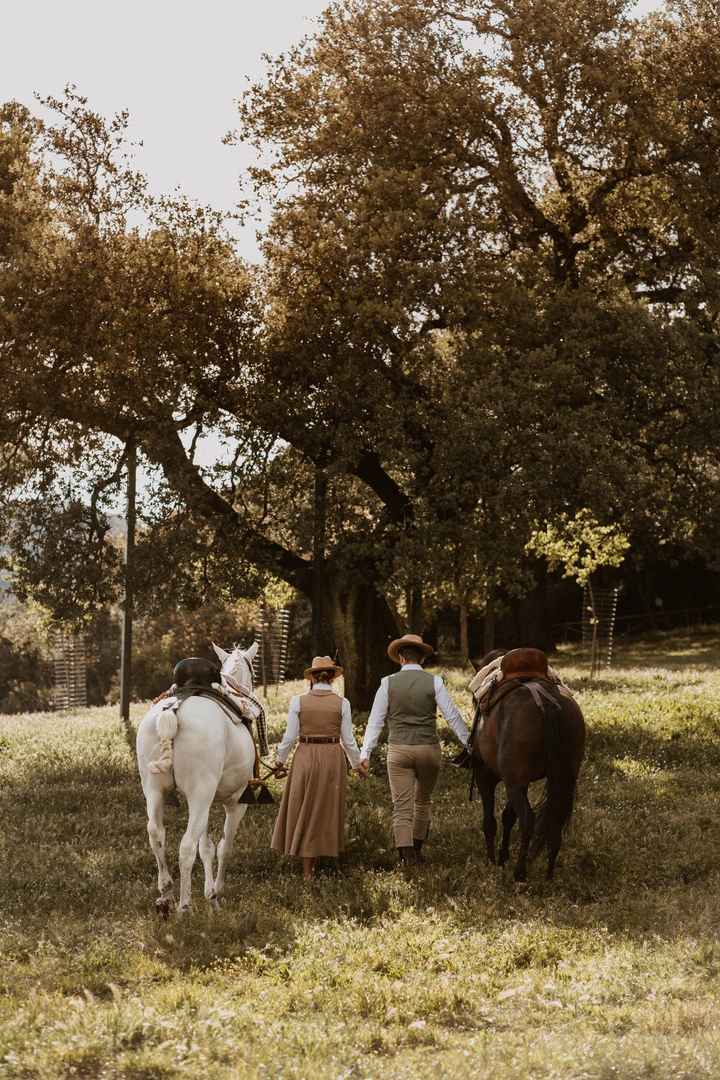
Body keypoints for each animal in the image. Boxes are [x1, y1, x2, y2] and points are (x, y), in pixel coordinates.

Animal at [134, 639, 262, 911]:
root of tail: (173, 710)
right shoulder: (235, 802)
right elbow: (223, 846)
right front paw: (216, 893)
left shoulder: (204, 802)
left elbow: (207, 847)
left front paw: (209, 895)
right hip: (200, 794)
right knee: (186, 846)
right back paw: (184, 906)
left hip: (156, 790)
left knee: (156, 833)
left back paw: (166, 894)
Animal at [472, 648, 587, 876]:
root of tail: (546, 703)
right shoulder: (517, 781)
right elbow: (508, 816)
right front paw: (502, 856)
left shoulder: (486, 776)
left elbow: (490, 820)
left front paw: (492, 859)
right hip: (561, 779)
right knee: (555, 817)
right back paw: (549, 872)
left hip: (514, 783)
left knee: (527, 819)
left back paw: (520, 872)